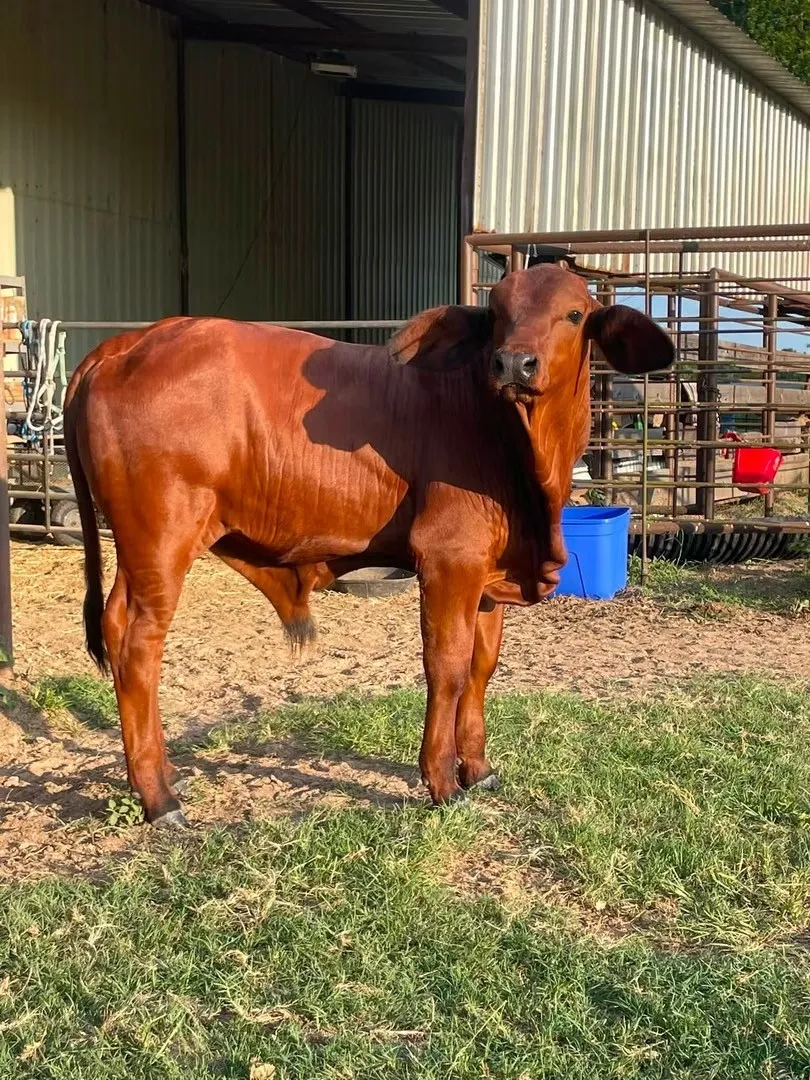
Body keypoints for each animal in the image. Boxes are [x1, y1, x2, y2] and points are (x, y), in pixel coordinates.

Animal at [64, 265, 673, 826]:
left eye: (573, 314)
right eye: (498, 313)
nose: (513, 364)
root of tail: (126, 344)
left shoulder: (489, 577)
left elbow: (482, 667)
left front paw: (478, 769)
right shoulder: (448, 560)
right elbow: (448, 668)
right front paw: (442, 781)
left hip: (140, 548)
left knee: (117, 629)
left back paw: (164, 774)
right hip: (161, 540)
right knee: (137, 646)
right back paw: (158, 797)